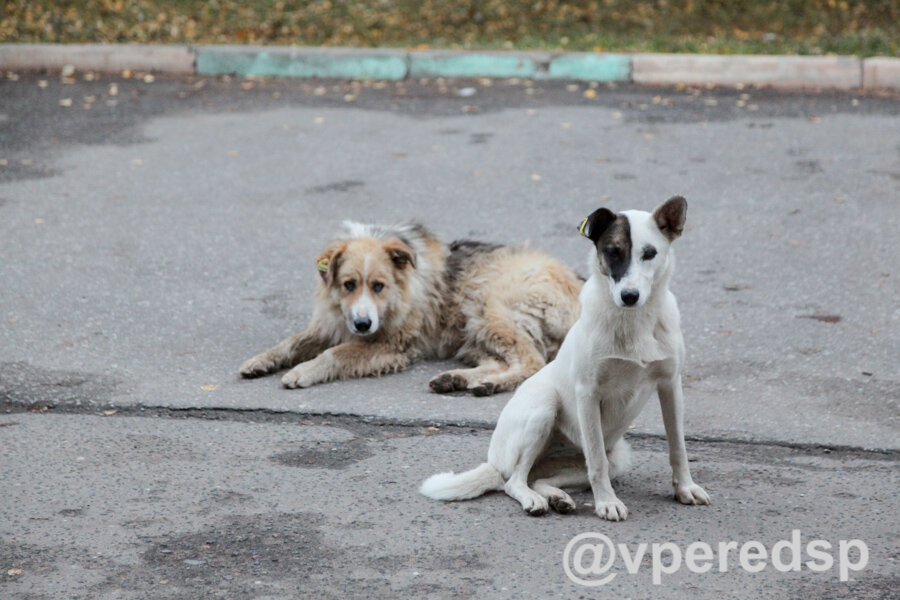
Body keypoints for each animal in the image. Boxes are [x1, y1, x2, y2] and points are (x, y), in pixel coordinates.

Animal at [237, 223, 584, 396]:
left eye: (378, 286)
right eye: (349, 284)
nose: (362, 325)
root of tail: (582, 286)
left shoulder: (391, 344)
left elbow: (335, 354)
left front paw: (303, 371)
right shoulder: (331, 324)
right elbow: (291, 342)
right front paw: (261, 360)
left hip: (488, 307)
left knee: (532, 362)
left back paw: (489, 385)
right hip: (472, 329)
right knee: (501, 361)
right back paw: (456, 379)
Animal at [420, 197, 712, 520]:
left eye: (649, 254)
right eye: (613, 252)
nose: (629, 296)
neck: (633, 322)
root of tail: (495, 463)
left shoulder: (670, 385)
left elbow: (678, 447)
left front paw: (685, 488)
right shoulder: (588, 394)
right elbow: (596, 460)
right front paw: (606, 502)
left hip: (616, 457)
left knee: (539, 478)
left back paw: (557, 497)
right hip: (543, 407)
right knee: (515, 481)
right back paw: (533, 500)